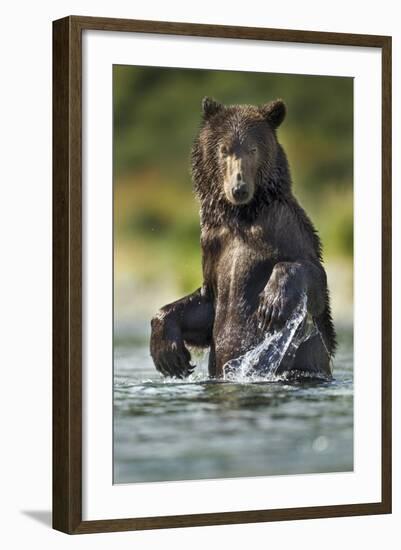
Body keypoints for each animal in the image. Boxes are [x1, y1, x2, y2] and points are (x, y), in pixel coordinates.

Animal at [149, 97, 334, 380]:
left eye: (253, 149)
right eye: (224, 149)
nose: (239, 188)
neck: (241, 217)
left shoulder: (284, 226)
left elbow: (313, 277)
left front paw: (271, 304)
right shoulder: (213, 243)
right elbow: (206, 303)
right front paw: (170, 354)